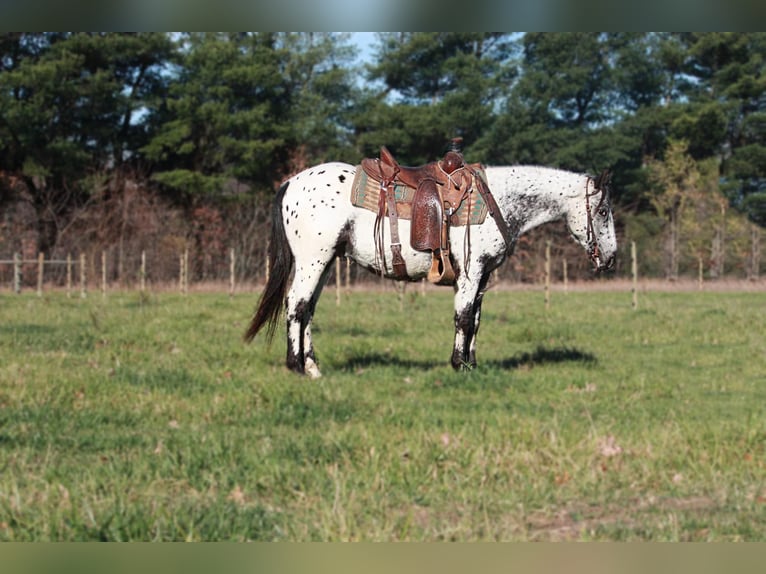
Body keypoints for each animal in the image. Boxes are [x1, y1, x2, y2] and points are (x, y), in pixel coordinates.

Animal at [246, 163, 616, 378]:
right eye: (603, 211)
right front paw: (458, 366)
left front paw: (471, 364)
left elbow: (476, 320)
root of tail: (291, 183)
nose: (610, 259)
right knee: (296, 305)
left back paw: (312, 366)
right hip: (314, 261)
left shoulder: (483, 277)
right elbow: (463, 318)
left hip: (323, 264)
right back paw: (297, 366)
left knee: (307, 309)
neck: (496, 200)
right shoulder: (471, 273)